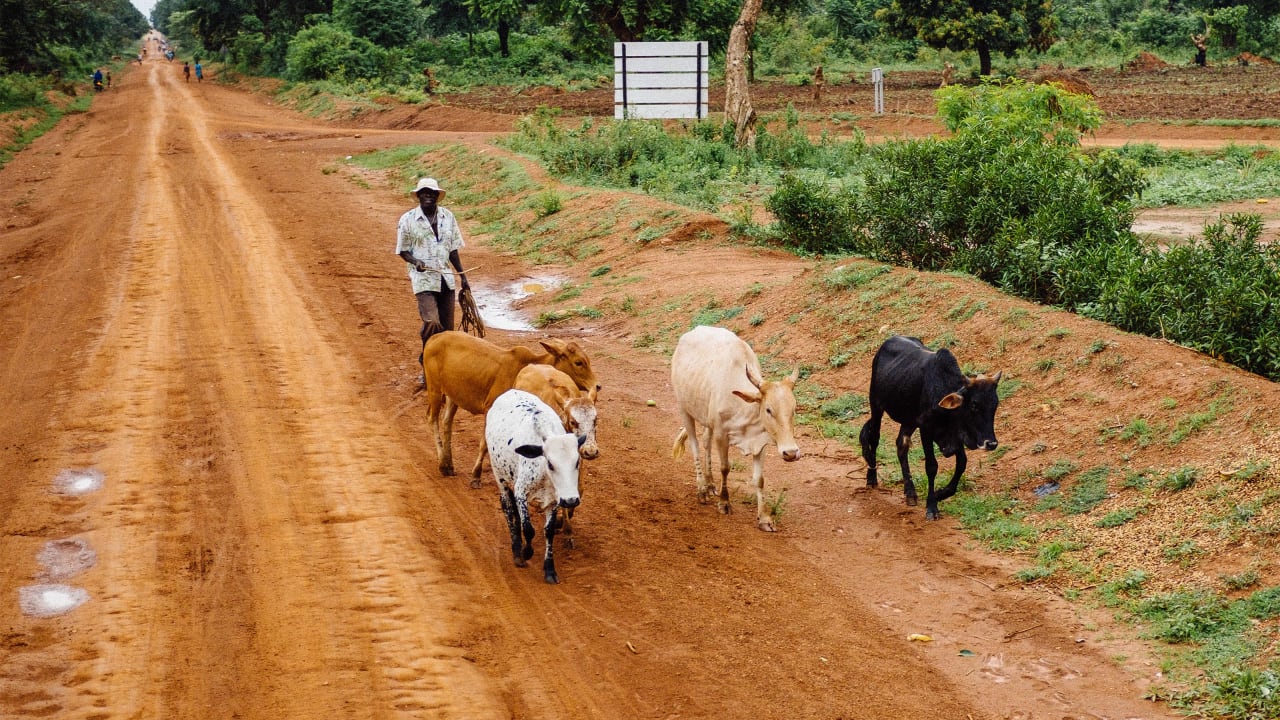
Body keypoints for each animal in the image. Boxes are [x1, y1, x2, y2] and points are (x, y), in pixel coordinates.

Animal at [419, 330, 599, 484]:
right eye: (578, 362)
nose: (597, 386)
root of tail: (434, 338)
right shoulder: (490, 410)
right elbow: (485, 444)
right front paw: (476, 475)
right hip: (434, 389)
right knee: (432, 418)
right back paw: (443, 465)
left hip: (452, 396)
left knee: (446, 422)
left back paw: (449, 463)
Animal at [483, 386, 581, 584]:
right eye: (550, 463)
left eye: (577, 462)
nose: (571, 500)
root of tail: (510, 391)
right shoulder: (521, 492)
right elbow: (529, 529)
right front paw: (526, 552)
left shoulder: (554, 500)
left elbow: (548, 531)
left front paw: (549, 569)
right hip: (500, 477)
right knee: (508, 508)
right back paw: (516, 549)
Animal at [670, 324, 798, 527]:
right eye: (768, 410)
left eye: (794, 409)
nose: (791, 453)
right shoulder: (722, 434)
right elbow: (725, 468)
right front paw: (724, 503)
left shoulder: (760, 442)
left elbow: (759, 479)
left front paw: (764, 518)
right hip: (684, 409)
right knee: (695, 446)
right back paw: (702, 489)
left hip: (707, 419)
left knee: (705, 442)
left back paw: (710, 483)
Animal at [860, 335, 998, 515]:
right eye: (974, 404)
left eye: (995, 405)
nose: (991, 443)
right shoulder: (925, 428)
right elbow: (932, 466)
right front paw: (932, 505)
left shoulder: (955, 436)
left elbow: (962, 463)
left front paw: (940, 494)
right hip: (876, 405)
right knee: (874, 439)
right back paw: (872, 478)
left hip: (909, 420)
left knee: (901, 445)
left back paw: (910, 492)